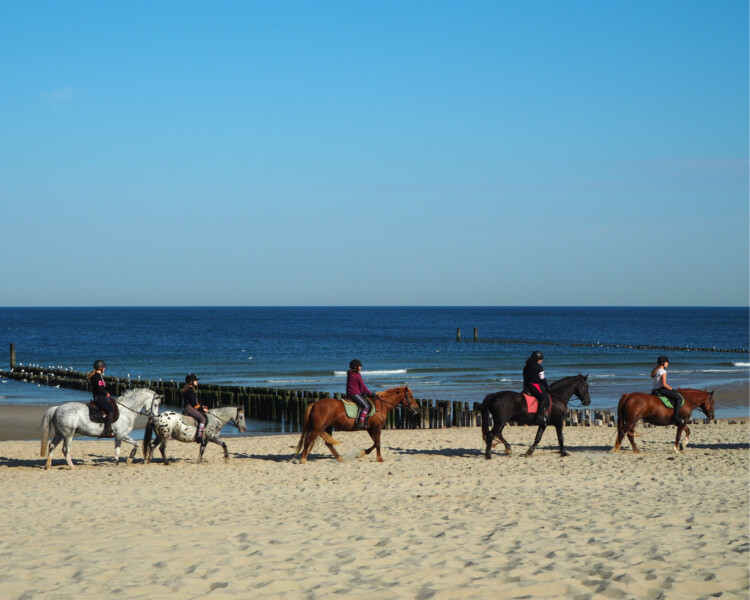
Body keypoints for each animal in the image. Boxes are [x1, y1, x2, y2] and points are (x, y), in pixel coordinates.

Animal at [296, 384, 424, 464]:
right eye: (411, 396)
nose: (417, 410)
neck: (380, 406)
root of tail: (314, 404)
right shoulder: (377, 428)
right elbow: (378, 443)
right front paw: (379, 459)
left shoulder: (370, 428)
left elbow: (375, 443)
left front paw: (362, 453)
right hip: (318, 428)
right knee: (308, 441)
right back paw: (303, 459)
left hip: (327, 428)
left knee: (329, 444)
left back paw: (340, 458)